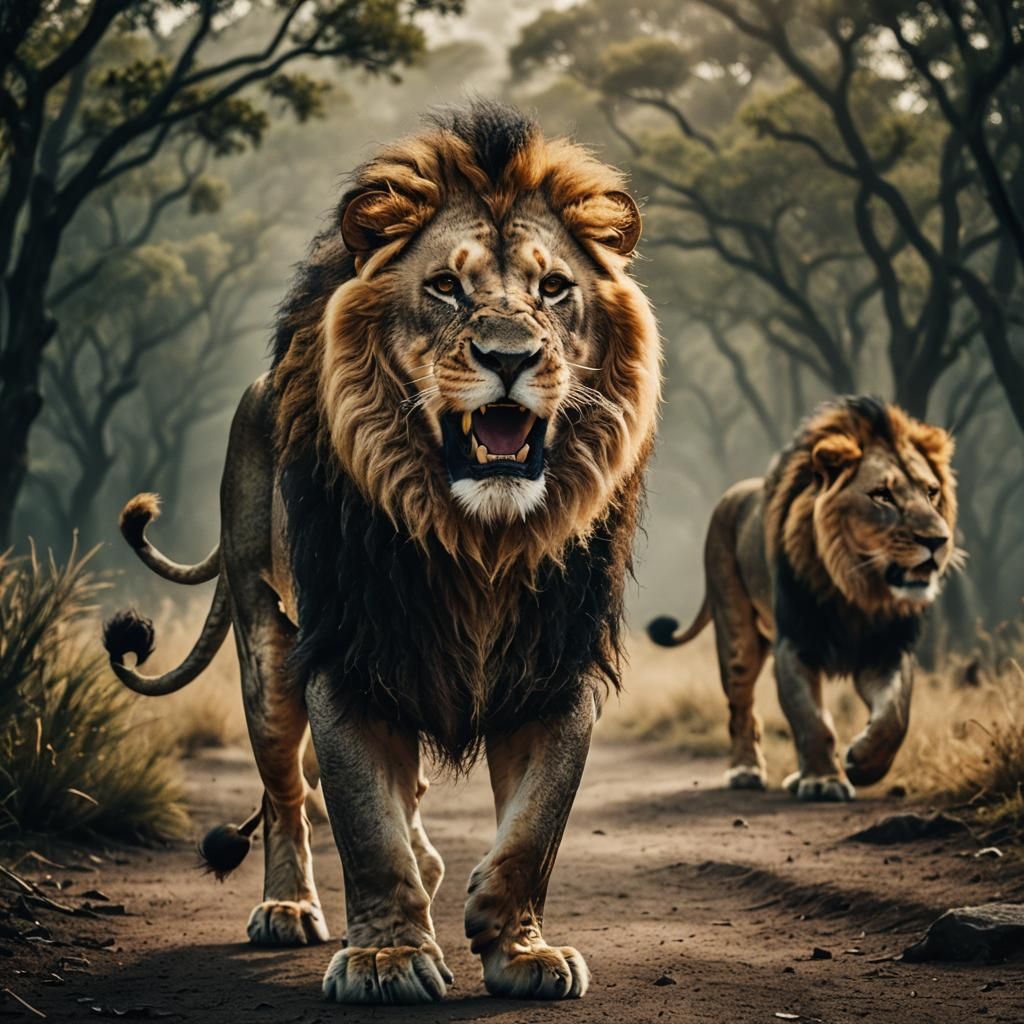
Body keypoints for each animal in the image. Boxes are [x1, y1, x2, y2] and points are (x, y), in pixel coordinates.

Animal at [101, 100, 660, 1005]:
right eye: (445, 287)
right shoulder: (348, 657)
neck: (479, 539)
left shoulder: (555, 664)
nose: (511, 358)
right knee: (286, 789)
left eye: (553, 289)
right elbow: (367, 827)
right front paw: (388, 959)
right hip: (267, 643)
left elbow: (535, 827)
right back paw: (287, 908)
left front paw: (518, 944)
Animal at [648, 396, 958, 802]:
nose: (938, 540)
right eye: (882, 495)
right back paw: (745, 770)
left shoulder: (887, 649)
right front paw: (824, 781)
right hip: (736, 633)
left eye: (931, 491)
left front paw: (862, 761)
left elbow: (895, 715)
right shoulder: (795, 643)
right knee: (741, 708)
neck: (856, 590)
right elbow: (811, 719)